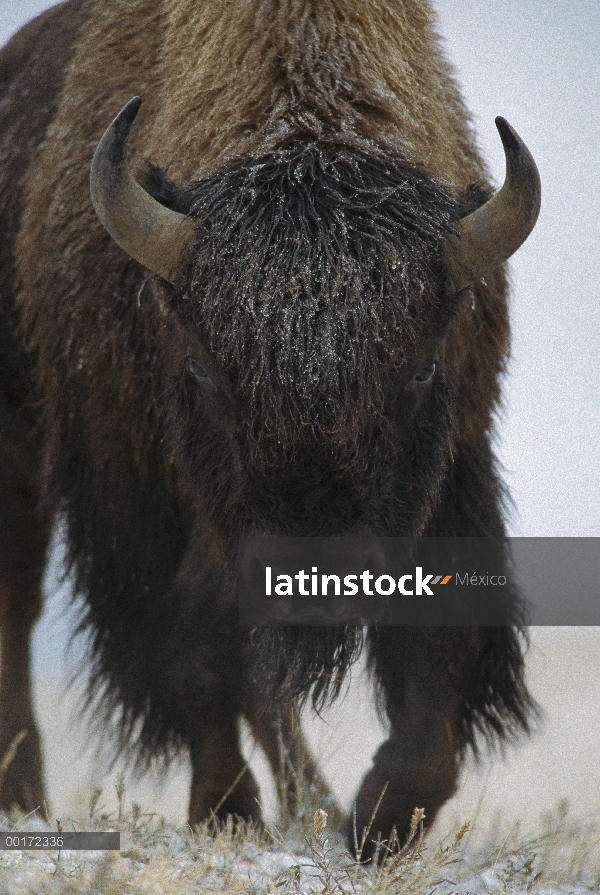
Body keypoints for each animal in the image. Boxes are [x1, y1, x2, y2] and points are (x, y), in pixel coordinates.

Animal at [0, 0, 540, 856]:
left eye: (421, 369)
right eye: (201, 369)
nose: (314, 584)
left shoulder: (452, 466)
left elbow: (435, 650)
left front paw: (378, 820)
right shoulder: (133, 488)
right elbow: (193, 651)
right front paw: (226, 810)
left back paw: (313, 803)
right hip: (18, 450)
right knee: (17, 603)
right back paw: (26, 797)